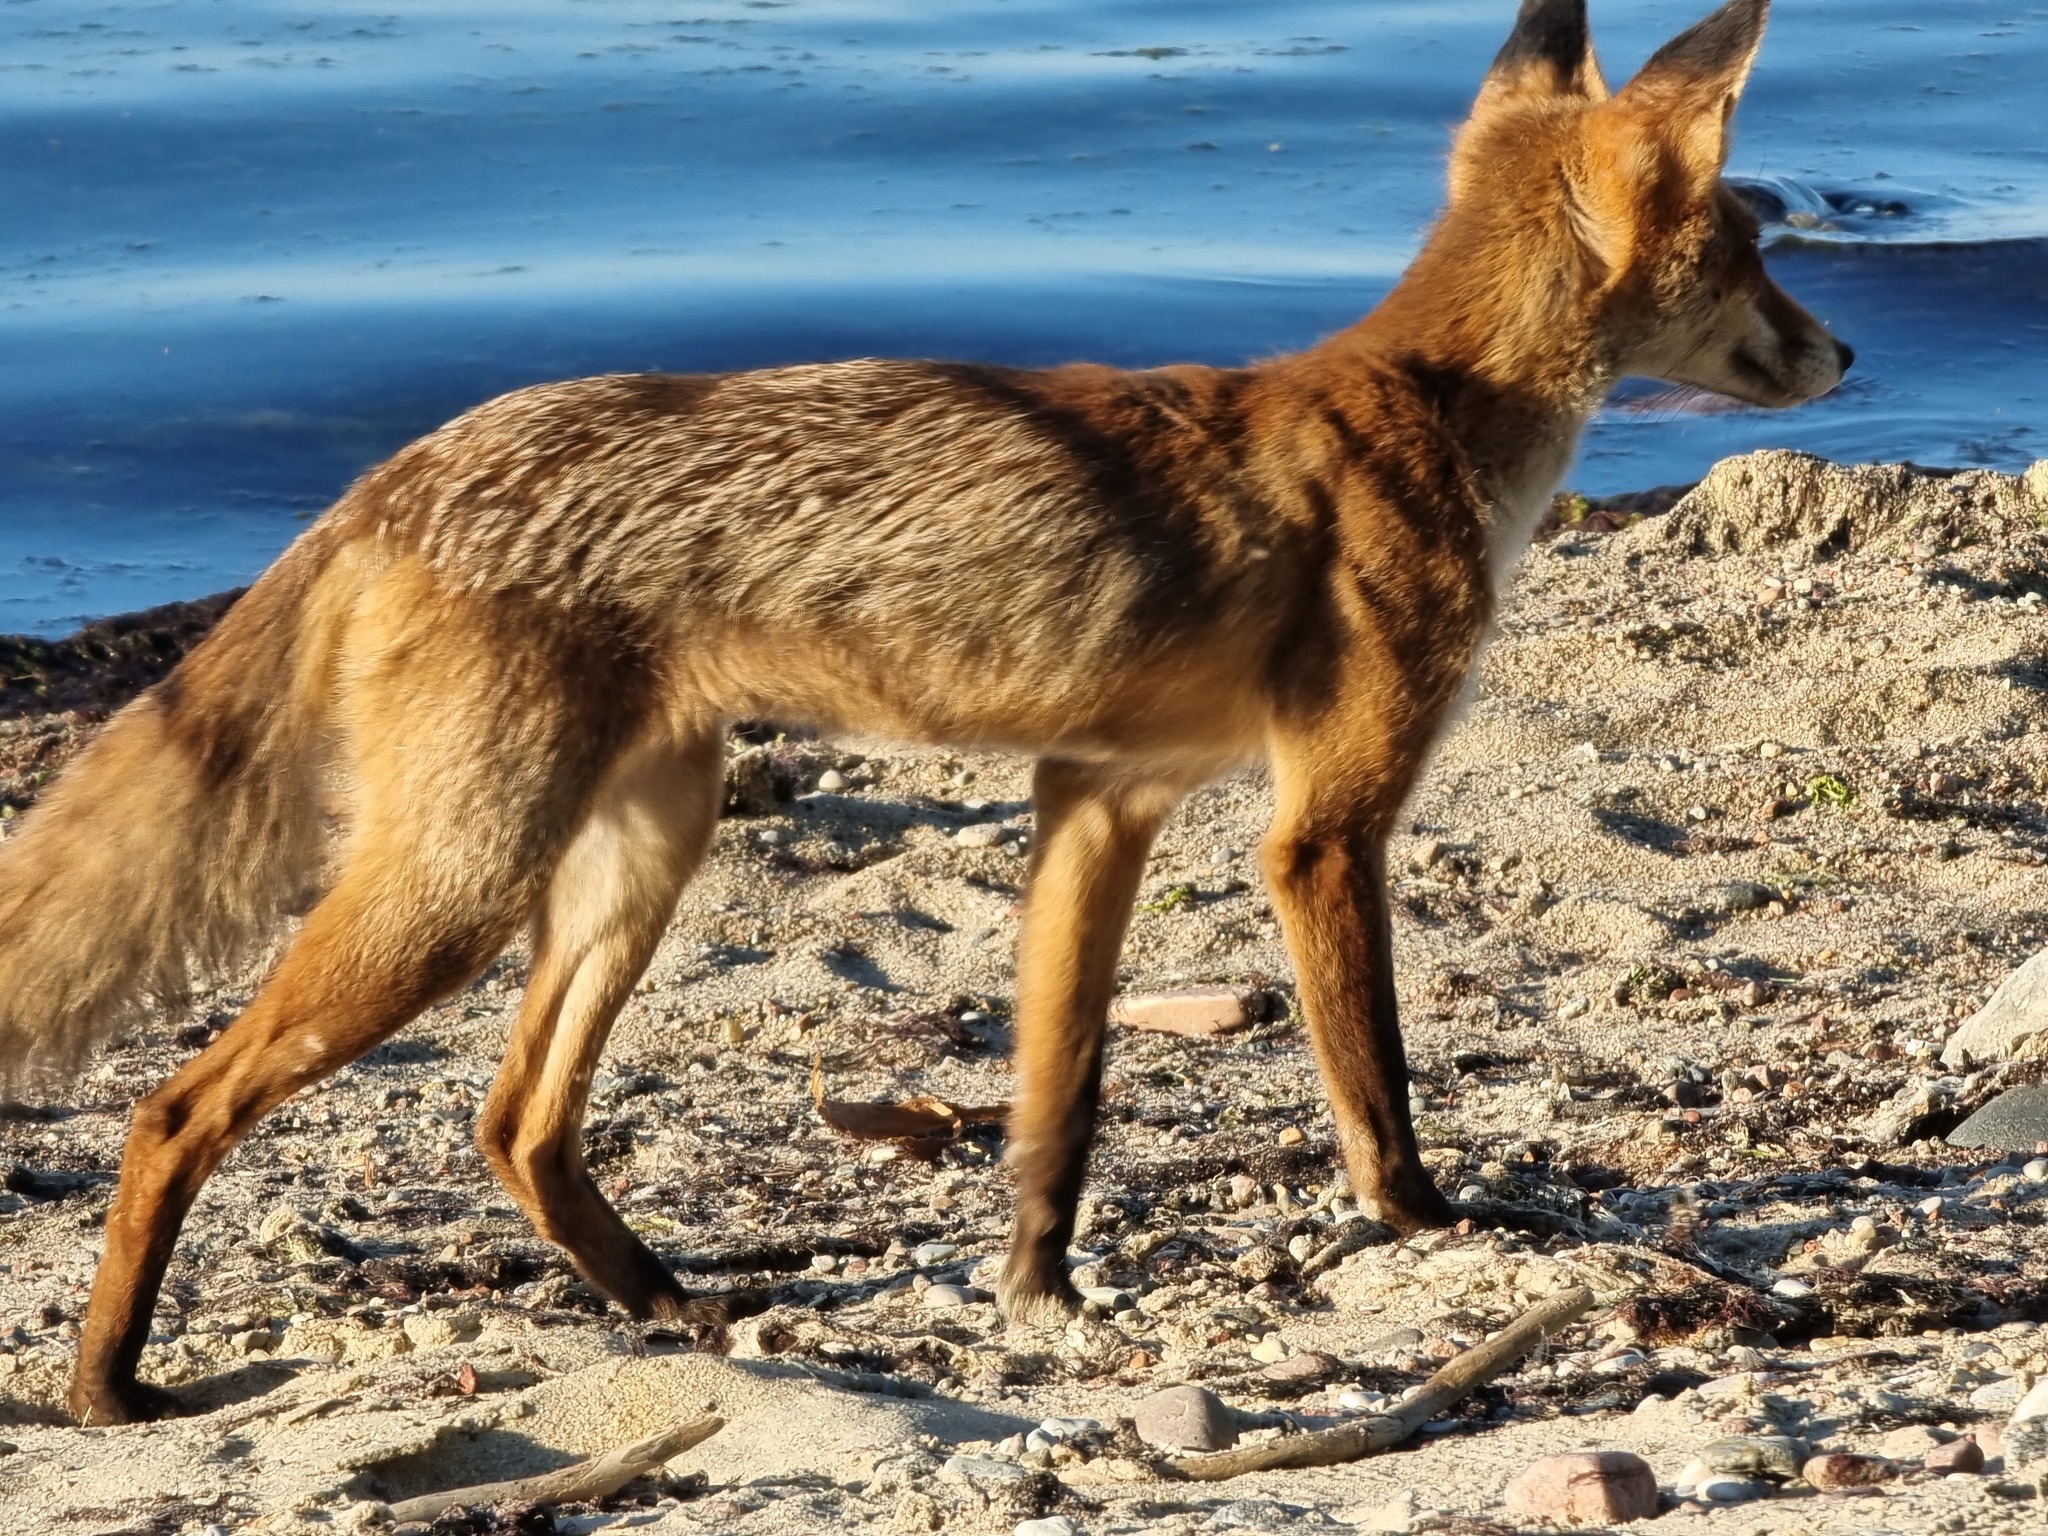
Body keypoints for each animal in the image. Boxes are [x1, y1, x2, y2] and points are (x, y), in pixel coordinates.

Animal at [0, 0, 1851, 1433]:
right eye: (1758, 253)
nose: (1841, 356)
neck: (1427, 409)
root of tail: (405, 468)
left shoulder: (1099, 799)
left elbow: (1059, 1097)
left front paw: (1038, 1286)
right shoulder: (1318, 825)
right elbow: (1370, 1084)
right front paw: (1434, 1226)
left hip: (632, 858)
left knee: (512, 1121)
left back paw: (665, 1306)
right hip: (461, 885)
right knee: (180, 1107)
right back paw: (107, 1384)